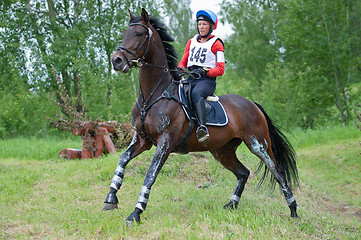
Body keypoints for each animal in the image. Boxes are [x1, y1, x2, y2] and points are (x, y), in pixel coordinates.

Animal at [102, 7, 298, 225]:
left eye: (139, 34)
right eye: (124, 34)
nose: (116, 60)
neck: (153, 95)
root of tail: (252, 104)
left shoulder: (165, 143)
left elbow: (150, 175)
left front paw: (136, 212)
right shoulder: (142, 139)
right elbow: (122, 160)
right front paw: (110, 198)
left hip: (258, 144)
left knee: (278, 172)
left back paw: (293, 210)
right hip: (222, 151)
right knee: (243, 172)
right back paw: (232, 204)